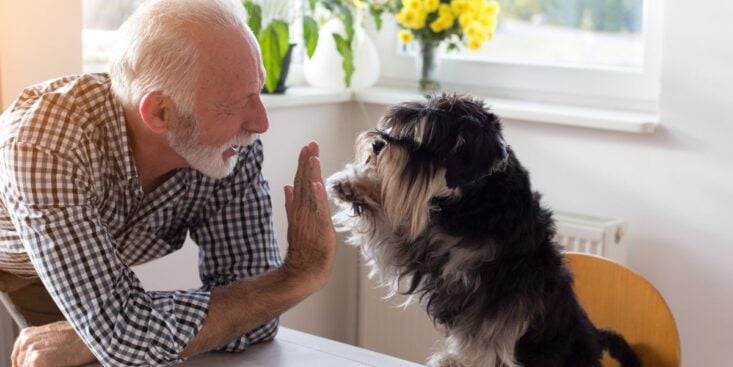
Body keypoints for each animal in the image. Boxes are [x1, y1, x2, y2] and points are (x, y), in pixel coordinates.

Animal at [326, 94, 640, 367]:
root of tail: (596, 340)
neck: (476, 199)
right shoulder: (423, 247)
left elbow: (485, 334)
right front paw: (353, 184)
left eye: (425, 140)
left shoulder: (501, 292)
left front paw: (458, 361)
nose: (378, 143)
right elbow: (391, 224)